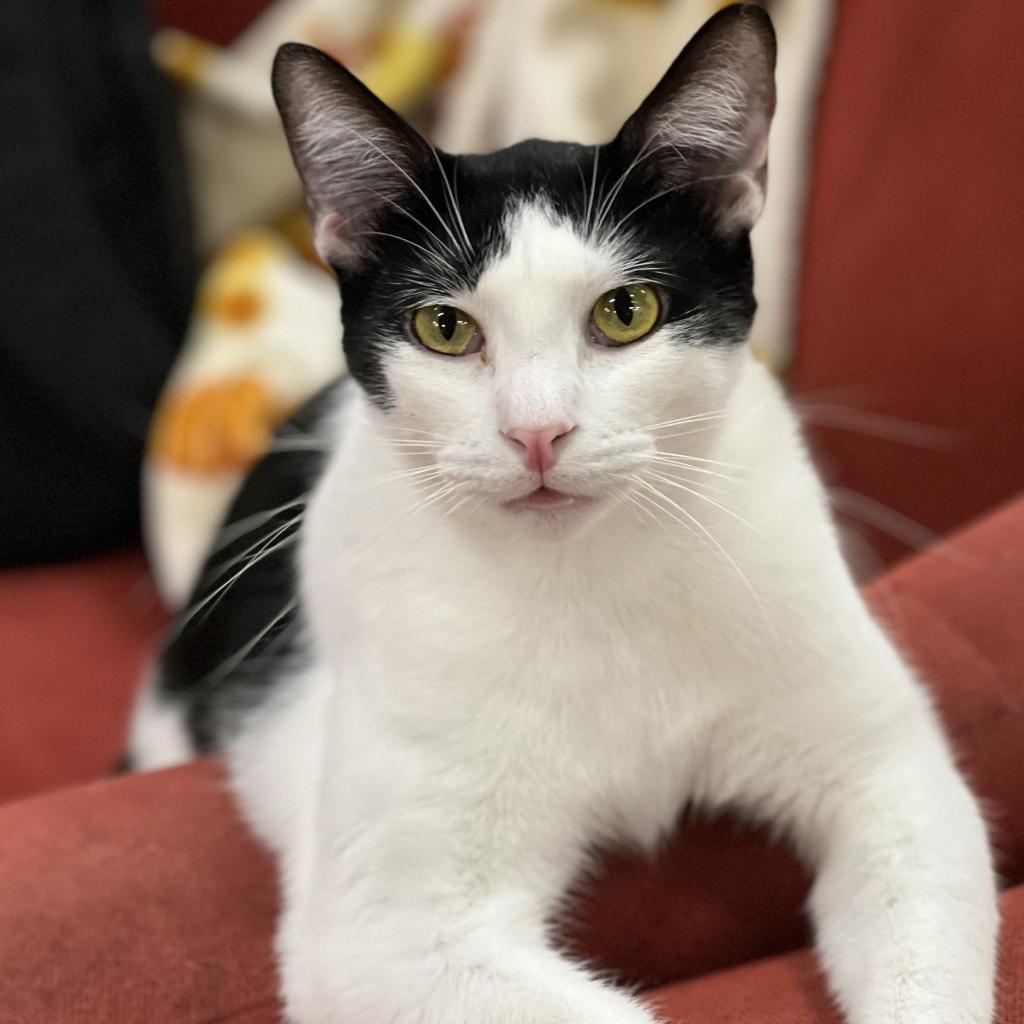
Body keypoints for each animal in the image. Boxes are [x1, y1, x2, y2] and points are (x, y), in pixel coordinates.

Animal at [123, 8, 995, 1024]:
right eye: (444, 328)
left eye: (627, 311)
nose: (537, 432)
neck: (592, 573)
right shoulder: (384, 937)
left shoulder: (892, 775)